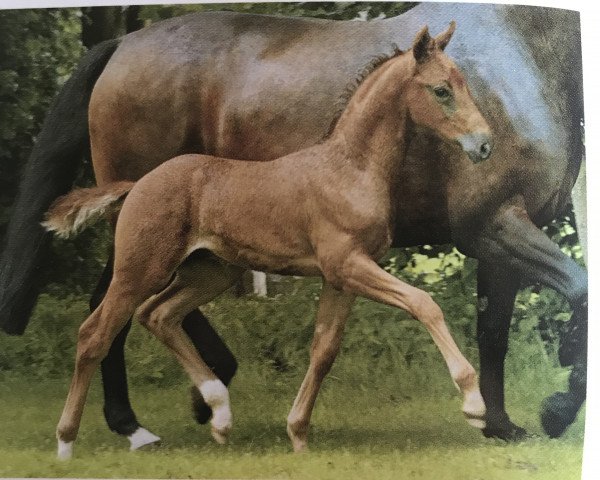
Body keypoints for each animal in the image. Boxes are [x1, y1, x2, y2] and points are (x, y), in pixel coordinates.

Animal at [44, 24, 490, 460]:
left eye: (463, 84)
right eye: (441, 90)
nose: (484, 144)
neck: (352, 168)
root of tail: (136, 185)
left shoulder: (341, 278)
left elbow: (324, 350)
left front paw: (298, 434)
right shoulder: (347, 264)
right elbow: (424, 303)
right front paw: (474, 404)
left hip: (211, 272)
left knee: (158, 315)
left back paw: (220, 415)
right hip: (140, 270)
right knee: (94, 334)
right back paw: (67, 443)